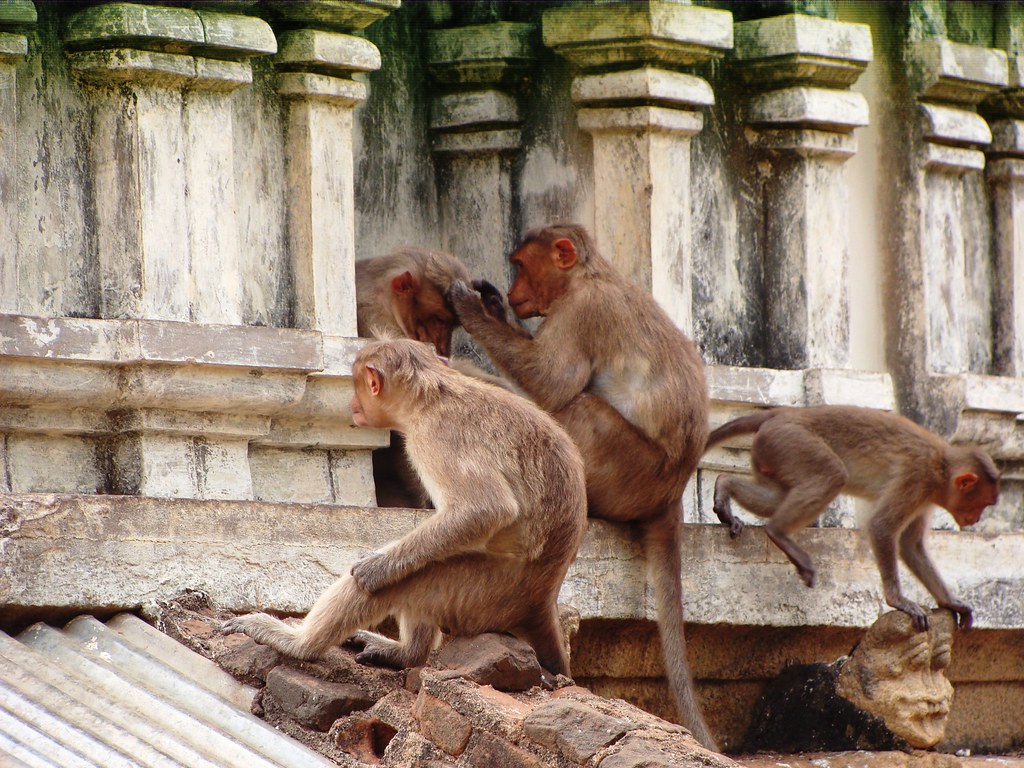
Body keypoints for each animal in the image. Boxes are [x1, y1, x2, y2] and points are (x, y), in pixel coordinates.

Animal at [222, 338, 588, 677]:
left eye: (358, 385)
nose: (352, 403)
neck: (433, 396)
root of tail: (542, 599)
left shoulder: (436, 436)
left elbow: (486, 509)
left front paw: (375, 568)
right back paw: (407, 654)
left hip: (481, 590)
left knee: (399, 582)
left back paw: (300, 644)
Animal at [449, 224, 717, 749]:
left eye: (522, 265)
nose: (513, 290)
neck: (589, 275)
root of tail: (672, 491)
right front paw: (490, 304)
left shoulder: (580, 312)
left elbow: (551, 382)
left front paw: (472, 309)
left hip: (627, 470)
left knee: (578, 407)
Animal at [704, 405, 1000, 631]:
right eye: (983, 503)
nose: (976, 519)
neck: (942, 465)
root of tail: (784, 413)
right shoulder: (917, 478)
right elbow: (882, 527)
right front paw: (898, 600)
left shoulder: (925, 498)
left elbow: (911, 546)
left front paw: (951, 602)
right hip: (792, 443)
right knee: (832, 475)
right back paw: (778, 532)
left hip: (773, 451)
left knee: (777, 495)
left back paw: (725, 486)